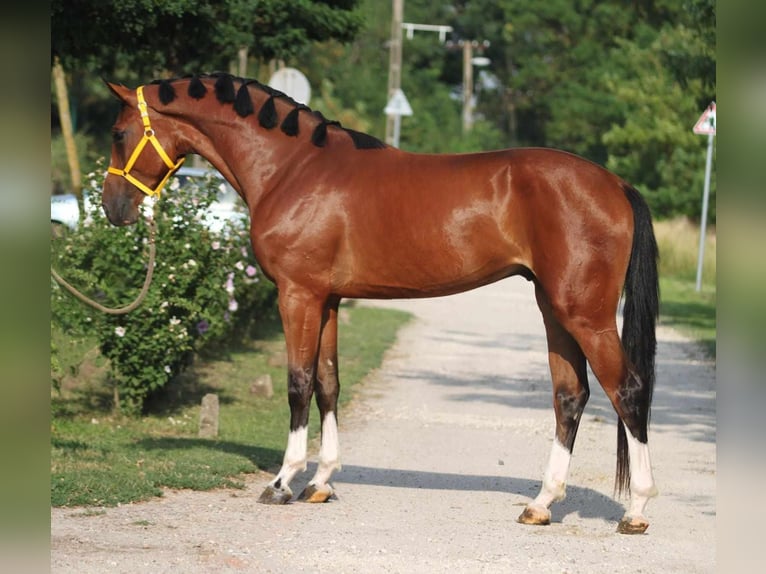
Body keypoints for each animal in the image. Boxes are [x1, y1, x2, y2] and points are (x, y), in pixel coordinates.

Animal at [103, 74, 660, 536]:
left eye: (118, 133)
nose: (113, 208)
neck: (293, 168)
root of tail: (616, 184)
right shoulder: (327, 299)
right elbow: (327, 384)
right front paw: (321, 483)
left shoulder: (298, 295)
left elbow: (298, 383)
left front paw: (283, 482)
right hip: (554, 309)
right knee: (571, 397)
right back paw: (540, 504)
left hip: (584, 314)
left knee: (627, 391)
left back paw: (635, 510)